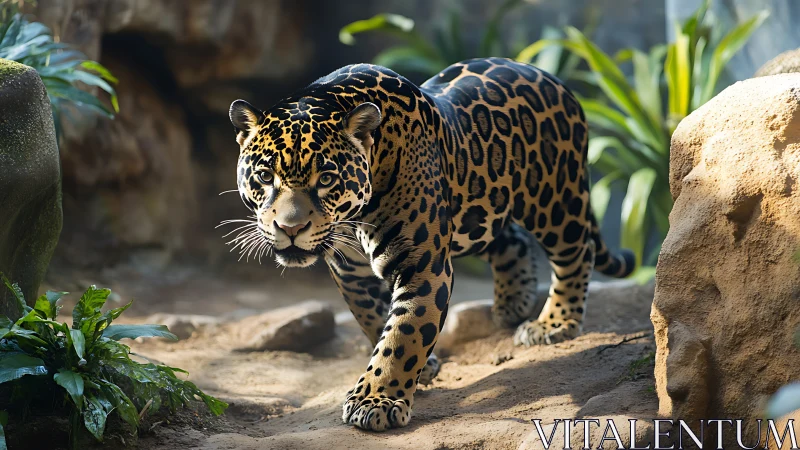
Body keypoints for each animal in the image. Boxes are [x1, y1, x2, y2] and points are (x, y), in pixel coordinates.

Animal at [227, 57, 635, 432]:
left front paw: (376, 400)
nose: (289, 227)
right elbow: (373, 317)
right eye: (264, 176)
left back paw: (553, 324)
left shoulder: (423, 264)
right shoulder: (348, 270)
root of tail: (553, 77)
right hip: (478, 208)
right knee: (509, 238)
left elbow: (404, 334)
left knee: (575, 252)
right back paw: (511, 304)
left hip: (555, 198)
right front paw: (417, 371)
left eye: (326, 179)